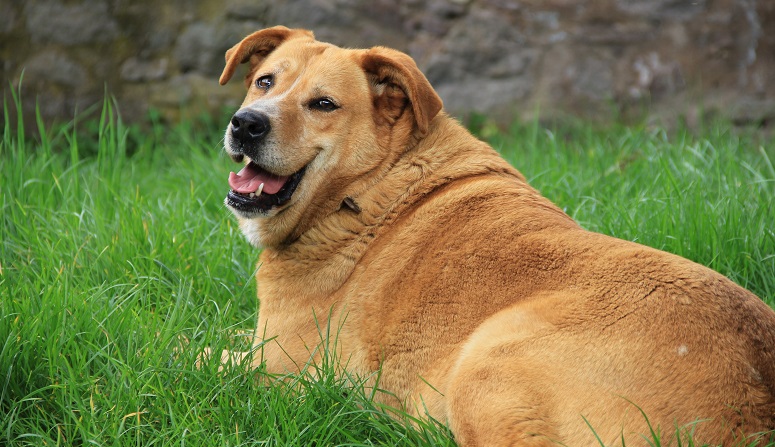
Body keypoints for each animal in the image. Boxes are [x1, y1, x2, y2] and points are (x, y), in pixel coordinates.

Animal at [215, 26, 775, 446]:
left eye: (324, 104)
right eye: (264, 81)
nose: (246, 124)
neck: (368, 188)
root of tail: (755, 410)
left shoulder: (277, 366)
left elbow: (201, 354)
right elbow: (213, 336)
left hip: (486, 364)